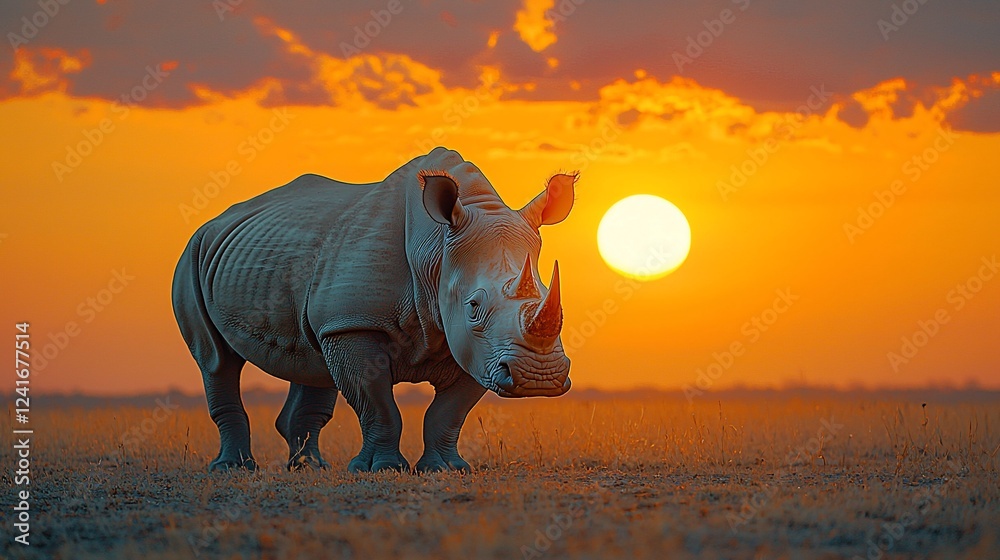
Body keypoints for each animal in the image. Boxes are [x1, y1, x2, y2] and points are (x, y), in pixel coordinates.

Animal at [172, 147, 575, 473]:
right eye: (474, 306)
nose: (539, 377)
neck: (436, 252)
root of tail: (214, 221)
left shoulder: (480, 349)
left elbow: (449, 412)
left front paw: (446, 469)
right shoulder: (355, 324)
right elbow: (378, 404)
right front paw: (380, 469)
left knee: (311, 360)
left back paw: (310, 468)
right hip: (192, 254)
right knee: (216, 360)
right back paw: (233, 469)